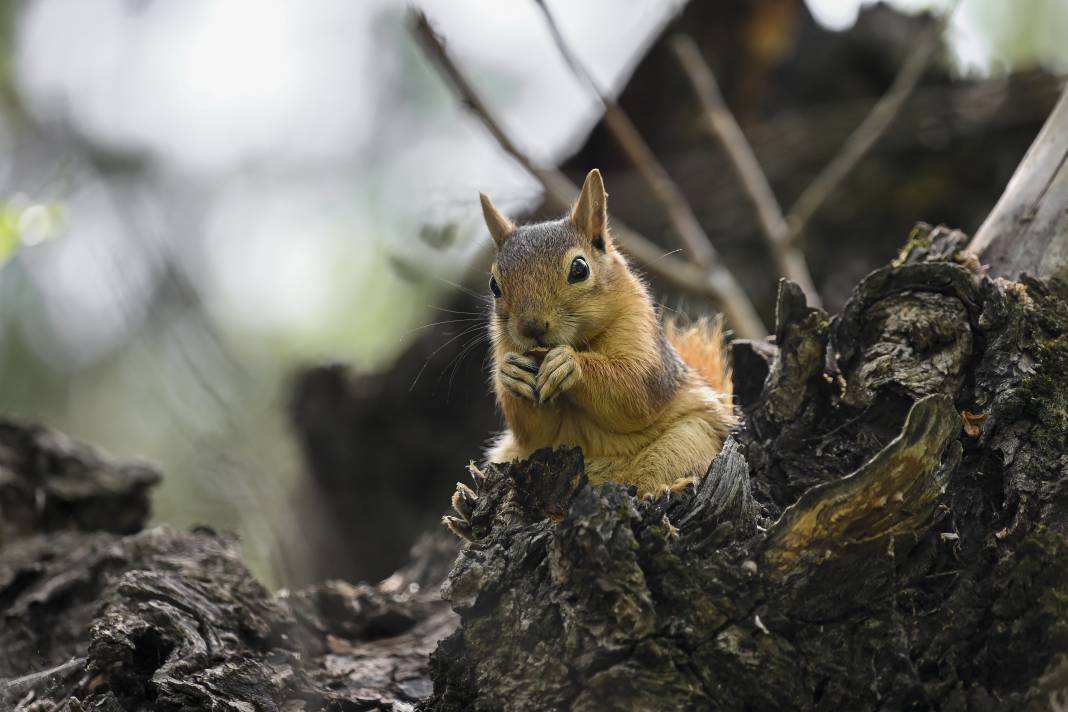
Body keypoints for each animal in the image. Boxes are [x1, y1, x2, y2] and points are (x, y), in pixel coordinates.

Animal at [444, 168, 734, 533]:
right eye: (494, 285)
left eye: (579, 269)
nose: (532, 328)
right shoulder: (505, 346)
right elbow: (533, 429)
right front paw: (511, 374)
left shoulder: (640, 332)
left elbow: (636, 388)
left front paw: (572, 366)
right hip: (511, 458)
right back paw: (468, 507)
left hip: (688, 438)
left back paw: (664, 489)